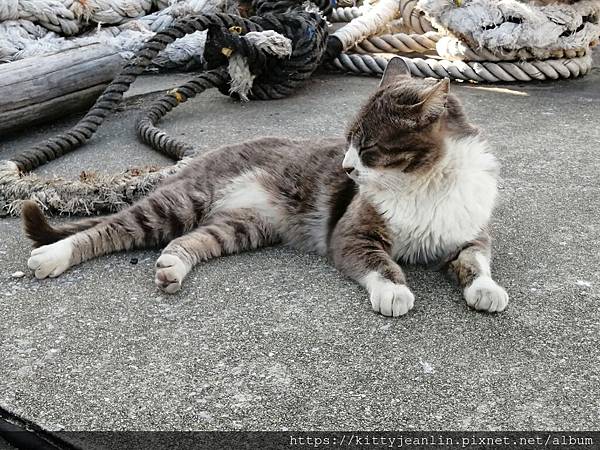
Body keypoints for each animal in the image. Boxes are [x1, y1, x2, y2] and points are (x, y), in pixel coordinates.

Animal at [22, 58, 506, 316]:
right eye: (347, 140)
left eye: (367, 147)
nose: (347, 169)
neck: (424, 184)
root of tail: (201, 156)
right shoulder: (352, 233)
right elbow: (379, 262)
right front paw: (393, 291)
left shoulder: (470, 231)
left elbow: (476, 259)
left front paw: (486, 289)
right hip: (180, 202)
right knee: (109, 229)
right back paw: (52, 256)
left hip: (242, 225)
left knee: (189, 240)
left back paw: (172, 268)